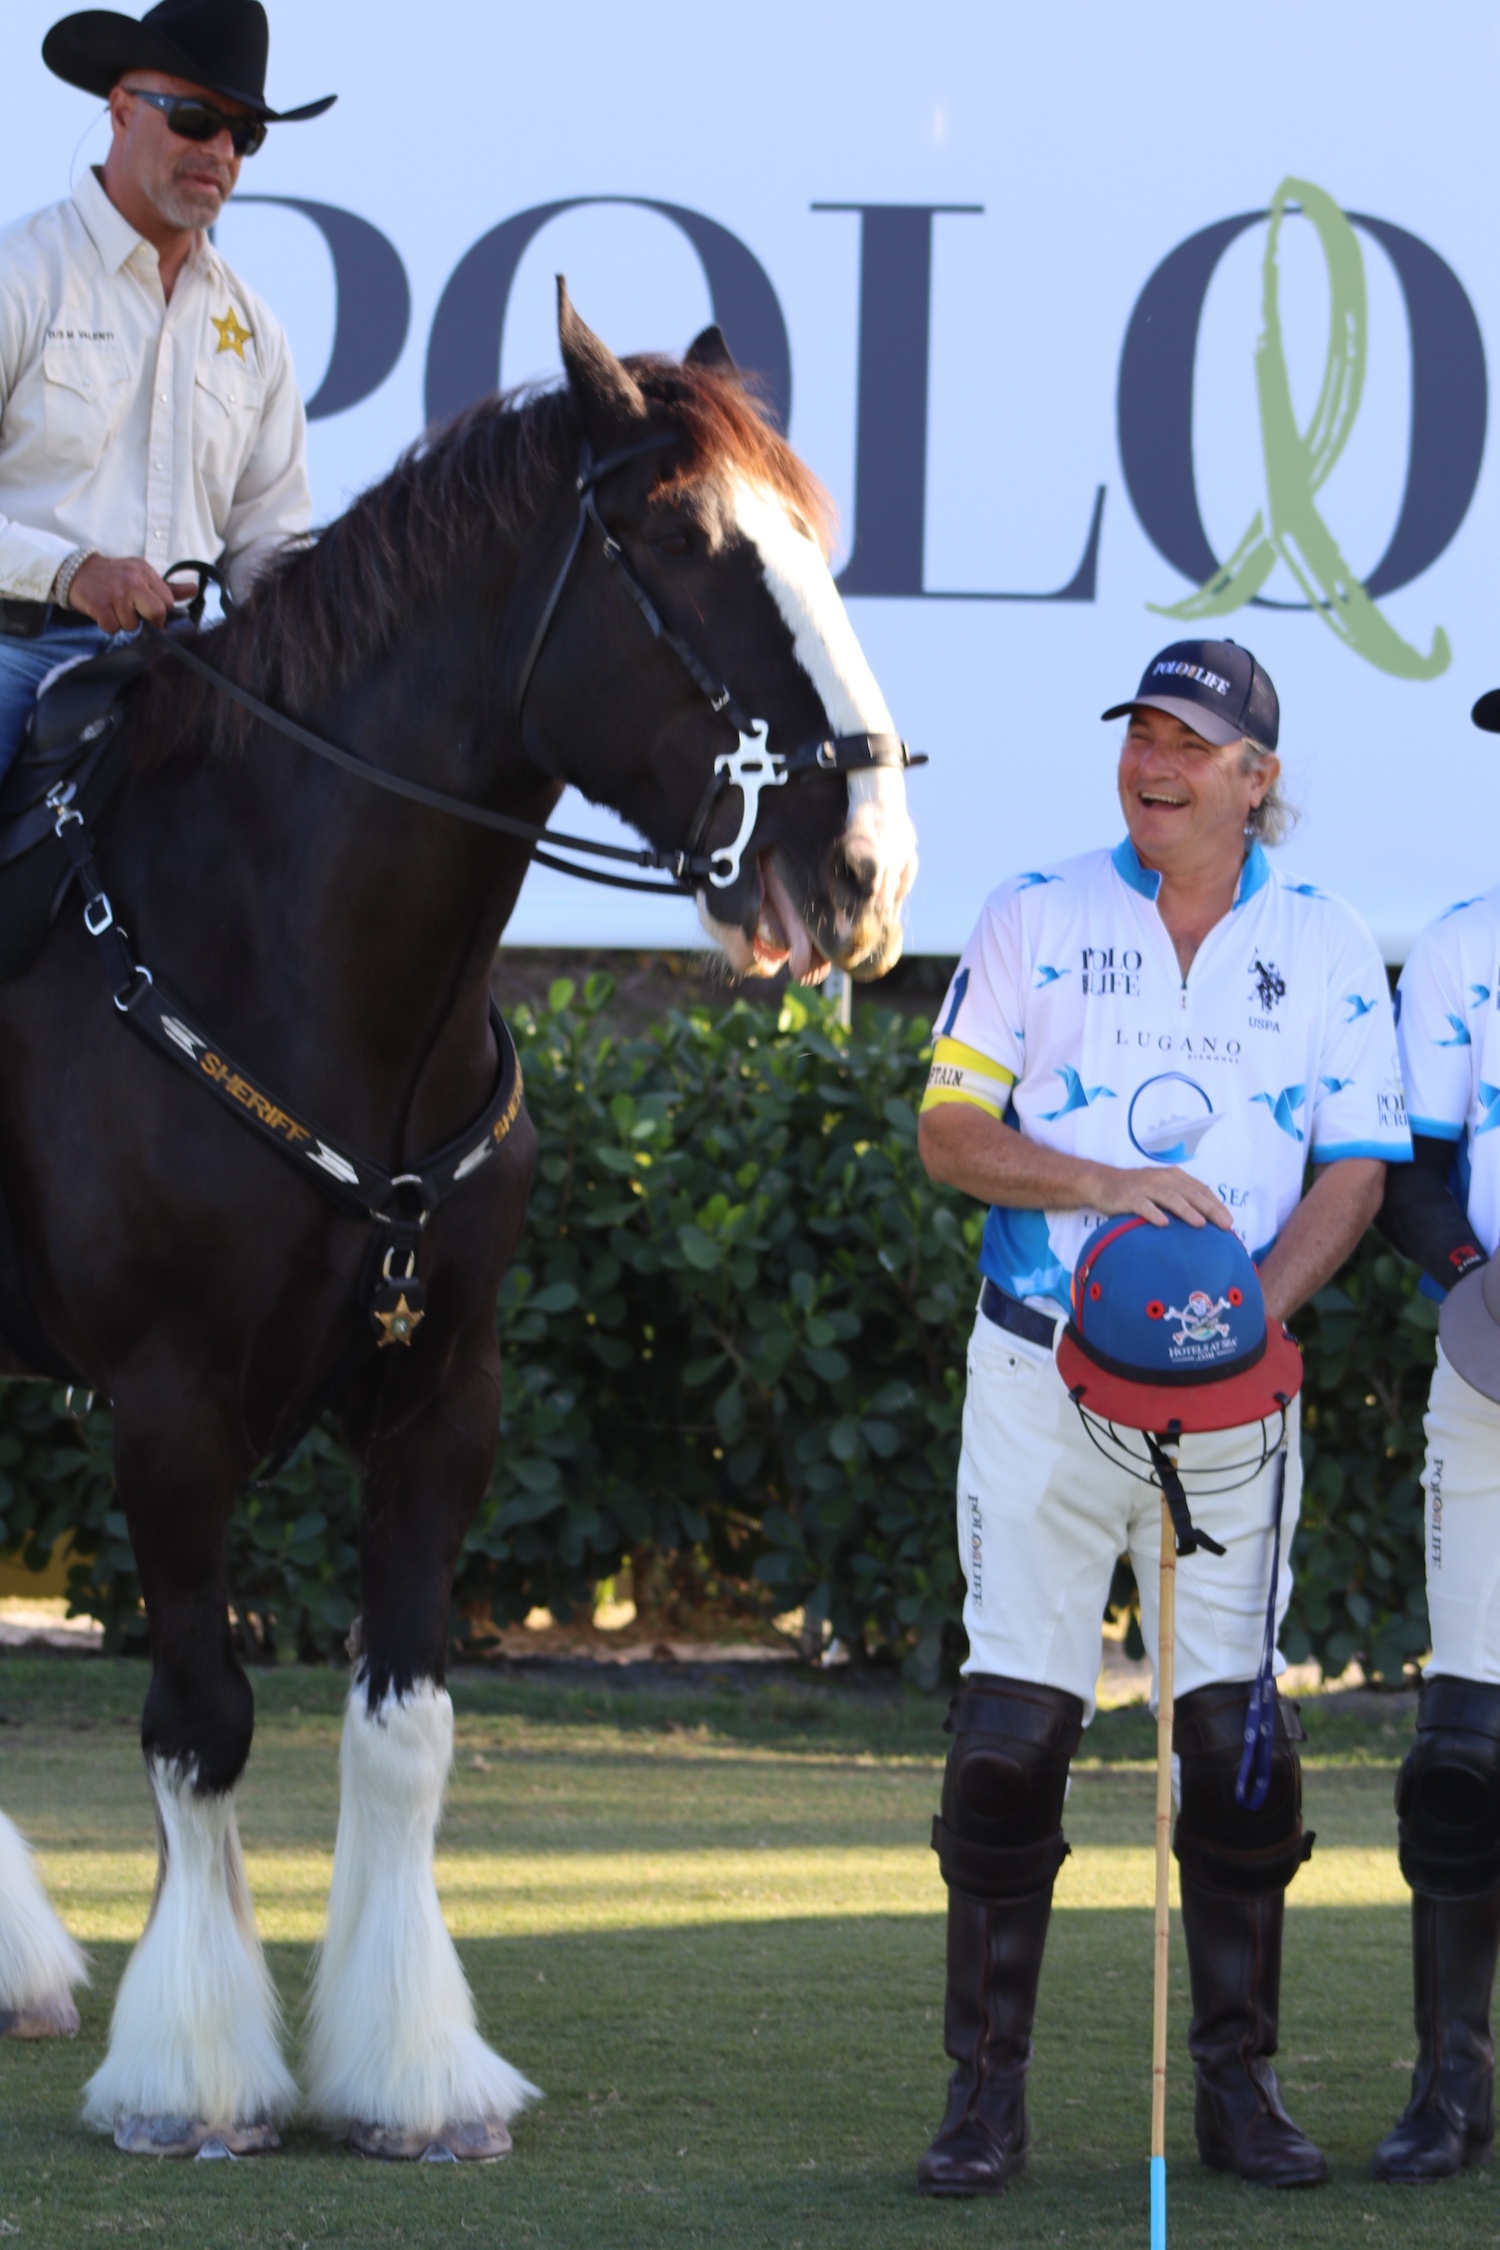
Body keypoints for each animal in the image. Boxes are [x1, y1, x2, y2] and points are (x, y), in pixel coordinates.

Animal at [0, 283, 918, 2160]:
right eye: (684, 537)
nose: (868, 866)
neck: (286, 958)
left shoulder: (449, 1398)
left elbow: (405, 1727)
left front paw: (411, 2074)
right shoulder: (168, 1406)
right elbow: (201, 1720)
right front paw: (193, 2071)